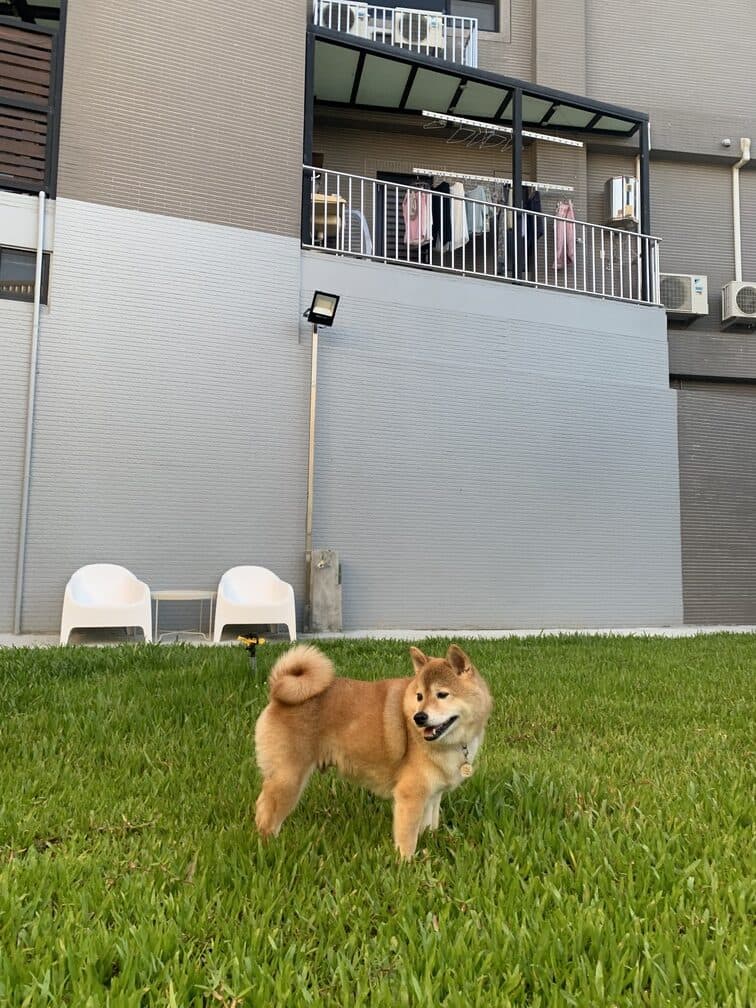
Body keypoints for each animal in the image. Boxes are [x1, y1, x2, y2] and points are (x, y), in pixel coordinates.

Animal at [253, 645, 491, 858]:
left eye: (442, 694)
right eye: (420, 696)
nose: (419, 717)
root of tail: (277, 692)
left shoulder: (432, 794)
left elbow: (429, 824)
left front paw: (430, 842)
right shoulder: (410, 796)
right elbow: (408, 838)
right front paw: (406, 865)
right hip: (288, 779)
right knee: (266, 817)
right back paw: (268, 847)